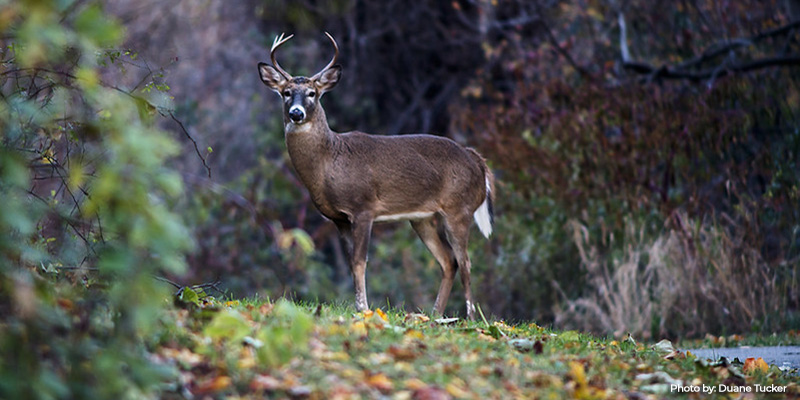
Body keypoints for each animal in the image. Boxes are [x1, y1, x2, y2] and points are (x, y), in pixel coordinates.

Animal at [257, 33, 494, 320]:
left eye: (312, 93)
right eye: (286, 93)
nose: (296, 113)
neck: (330, 161)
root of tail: (478, 161)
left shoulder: (363, 207)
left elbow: (360, 261)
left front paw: (364, 309)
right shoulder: (339, 219)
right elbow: (351, 263)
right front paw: (359, 307)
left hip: (459, 208)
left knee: (465, 261)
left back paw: (470, 317)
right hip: (422, 218)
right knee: (449, 261)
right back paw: (434, 315)